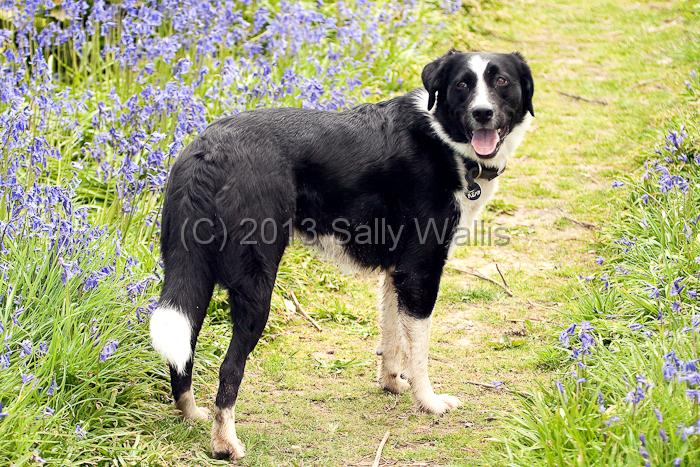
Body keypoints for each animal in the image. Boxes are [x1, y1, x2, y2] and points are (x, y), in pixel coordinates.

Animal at [152, 49, 536, 458]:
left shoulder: (397, 273)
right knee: (229, 368)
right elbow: (418, 351)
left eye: (501, 81)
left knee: (181, 351)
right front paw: (429, 403)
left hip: (191, 278)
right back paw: (226, 442)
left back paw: (192, 414)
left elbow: (392, 337)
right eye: (463, 84)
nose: (482, 113)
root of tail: (208, 151)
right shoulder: (421, 271)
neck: (444, 138)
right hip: (255, 289)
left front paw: (391, 384)